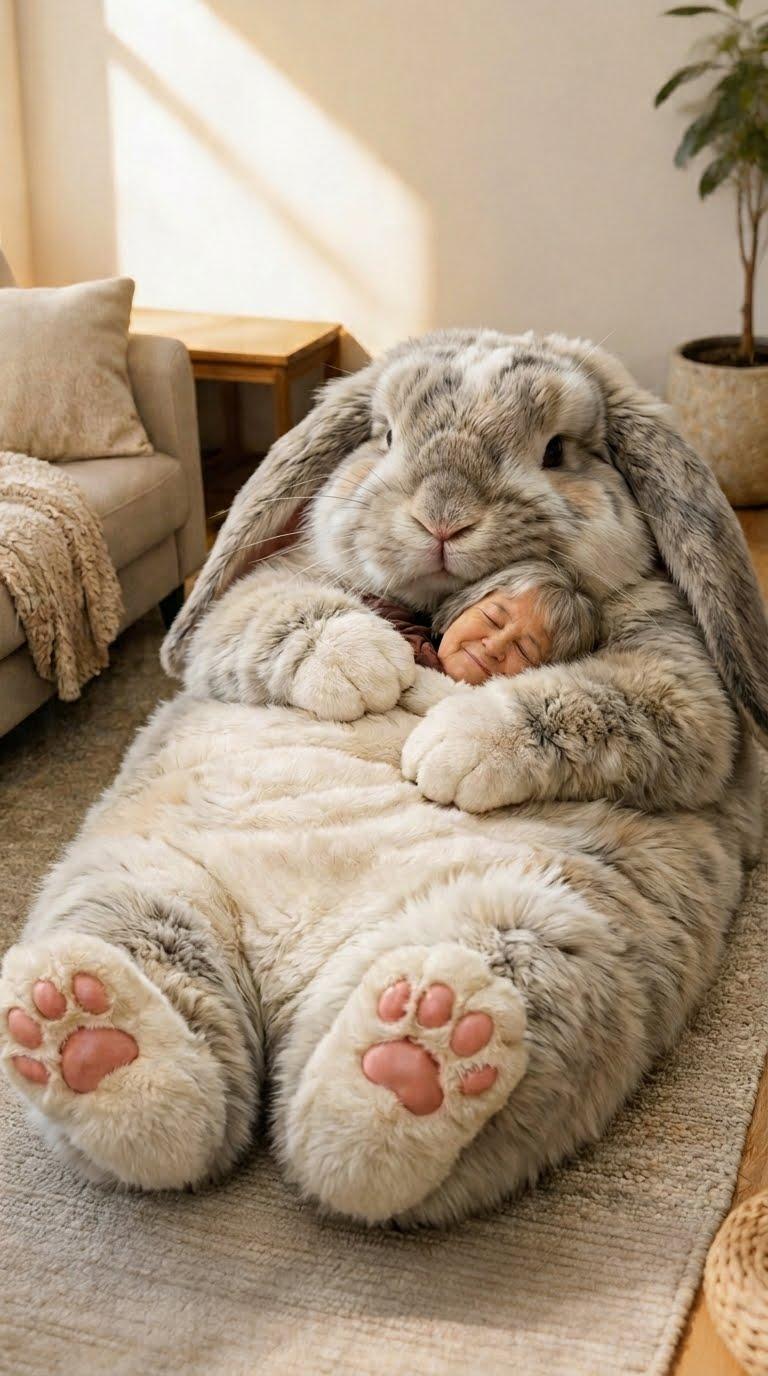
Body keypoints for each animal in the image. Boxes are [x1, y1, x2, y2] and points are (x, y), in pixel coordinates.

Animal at [0, 329, 765, 1228]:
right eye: (387, 436)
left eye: (556, 451)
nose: (442, 519)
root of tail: (289, 980)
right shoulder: (264, 594)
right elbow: (269, 616)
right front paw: (364, 667)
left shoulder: (681, 688)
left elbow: (604, 702)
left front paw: (447, 748)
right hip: (138, 881)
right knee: (177, 1082)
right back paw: (76, 1025)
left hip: (553, 931)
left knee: (356, 1142)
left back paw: (422, 1049)